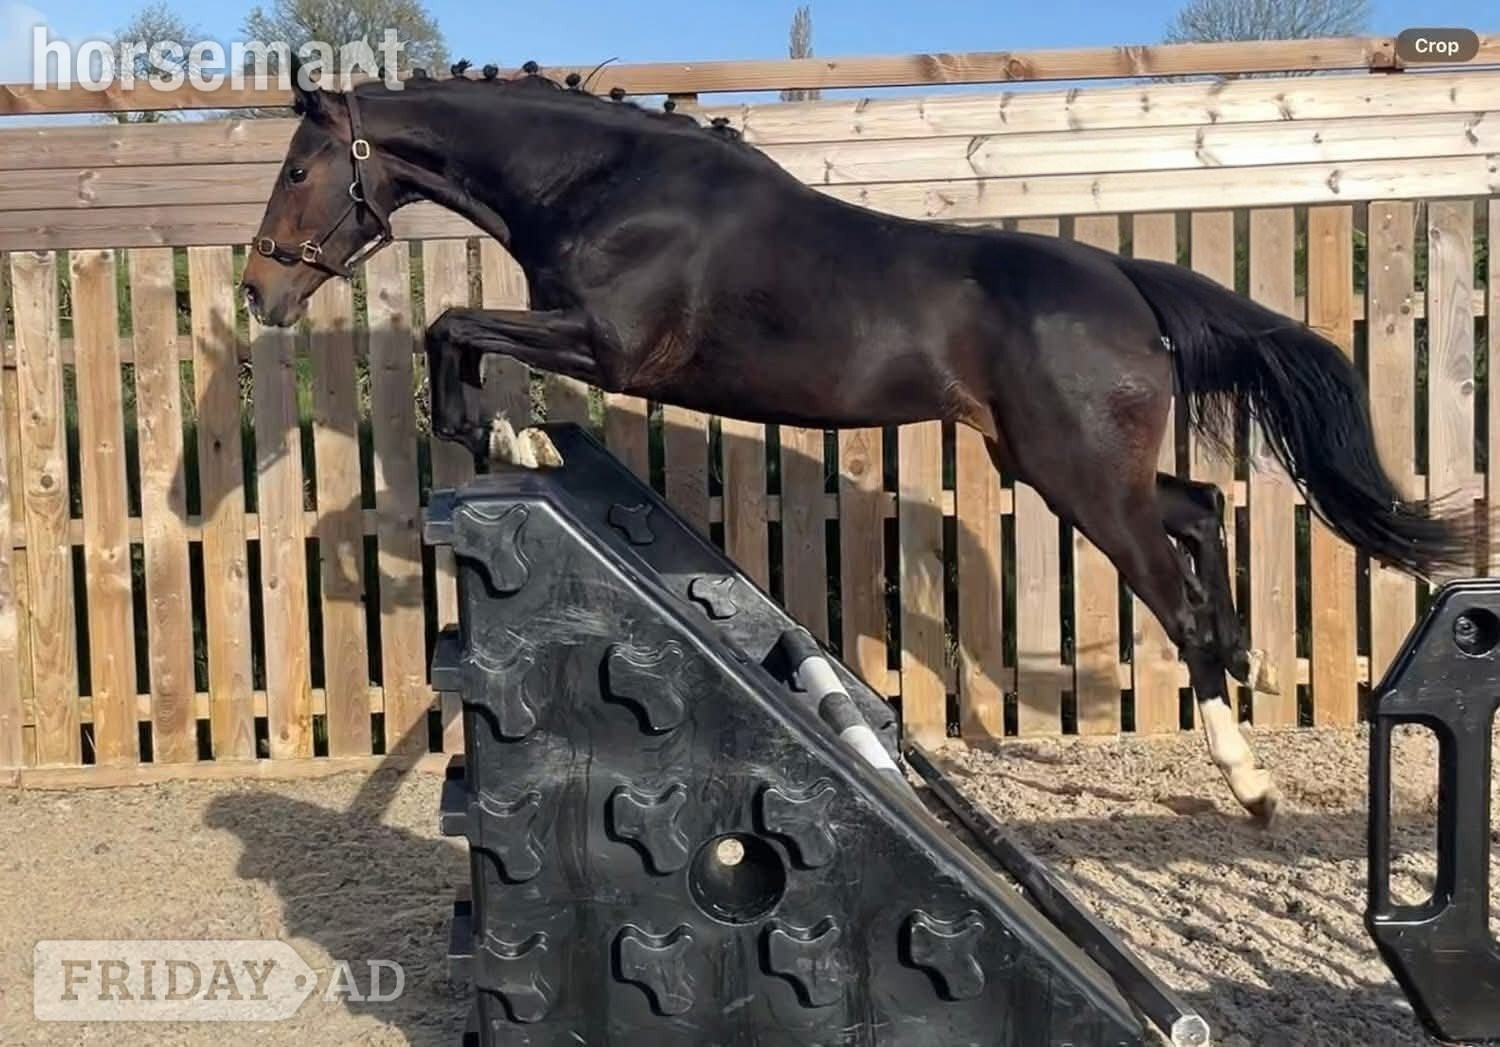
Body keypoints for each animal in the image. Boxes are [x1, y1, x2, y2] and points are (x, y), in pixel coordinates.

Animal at [240, 60, 1474, 825]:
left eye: (299, 169)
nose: (260, 292)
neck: (606, 188)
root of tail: (1126, 281)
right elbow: (465, 337)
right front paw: (521, 442)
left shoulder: (610, 347)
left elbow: (455, 327)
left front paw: (498, 432)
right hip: (1055, 464)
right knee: (1200, 511)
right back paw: (1248, 655)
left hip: (1078, 480)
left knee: (1169, 588)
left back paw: (1250, 780)